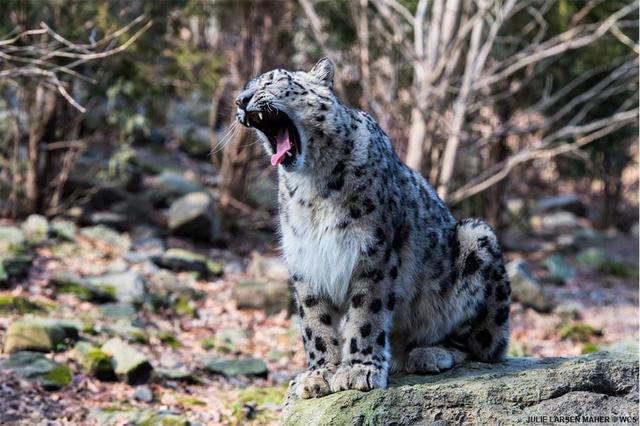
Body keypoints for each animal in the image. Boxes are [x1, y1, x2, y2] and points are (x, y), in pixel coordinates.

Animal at [235, 58, 510, 398]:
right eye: (248, 86)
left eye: (273, 82)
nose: (241, 100)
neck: (312, 186)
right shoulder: (305, 257)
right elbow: (314, 322)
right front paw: (318, 374)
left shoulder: (372, 251)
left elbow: (366, 313)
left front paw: (358, 370)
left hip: (477, 238)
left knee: (482, 344)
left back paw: (429, 353)